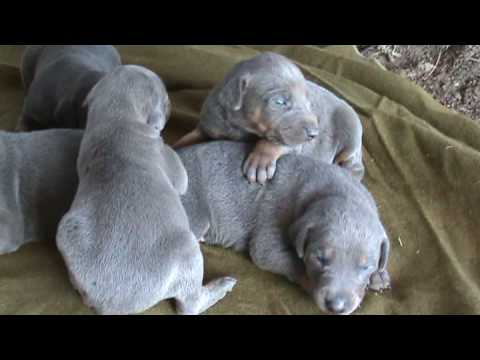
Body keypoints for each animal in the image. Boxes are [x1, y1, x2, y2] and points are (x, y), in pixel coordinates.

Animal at [56, 64, 236, 316]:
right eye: (166, 99)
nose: (170, 107)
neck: (116, 118)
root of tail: (108, 302)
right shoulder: (165, 155)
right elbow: (181, 179)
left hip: (66, 232)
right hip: (187, 252)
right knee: (189, 304)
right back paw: (221, 286)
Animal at [172, 53, 364, 186]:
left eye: (308, 103)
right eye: (279, 102)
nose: (314, 134)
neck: (242, 127)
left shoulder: (295, 143)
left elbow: (274, 142)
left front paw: (261, 162)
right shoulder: (210, 123)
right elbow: (190, 137)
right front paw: (175, 147)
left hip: (351, 131)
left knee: (355, 167)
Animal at [179, 141, 390, 316]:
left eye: (365, 267)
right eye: (320, 259)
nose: (336, 307)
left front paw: (379, 276)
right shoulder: (269, 234)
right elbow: (288, 262)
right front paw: (310, 284)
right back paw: (220, 287)